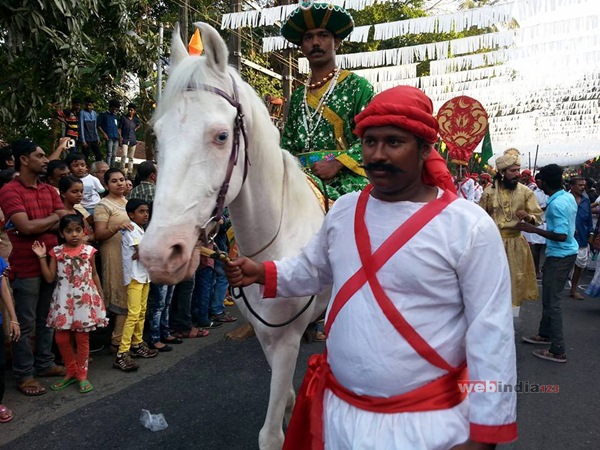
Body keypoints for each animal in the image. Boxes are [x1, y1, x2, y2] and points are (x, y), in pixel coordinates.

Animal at [141, 22, 328, 448]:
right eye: (157, 135)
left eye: (222, 136)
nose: (159, 255)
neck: (273, 245)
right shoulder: (267, 333)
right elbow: (285, 395)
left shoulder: (286, 338)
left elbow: (271, 434)